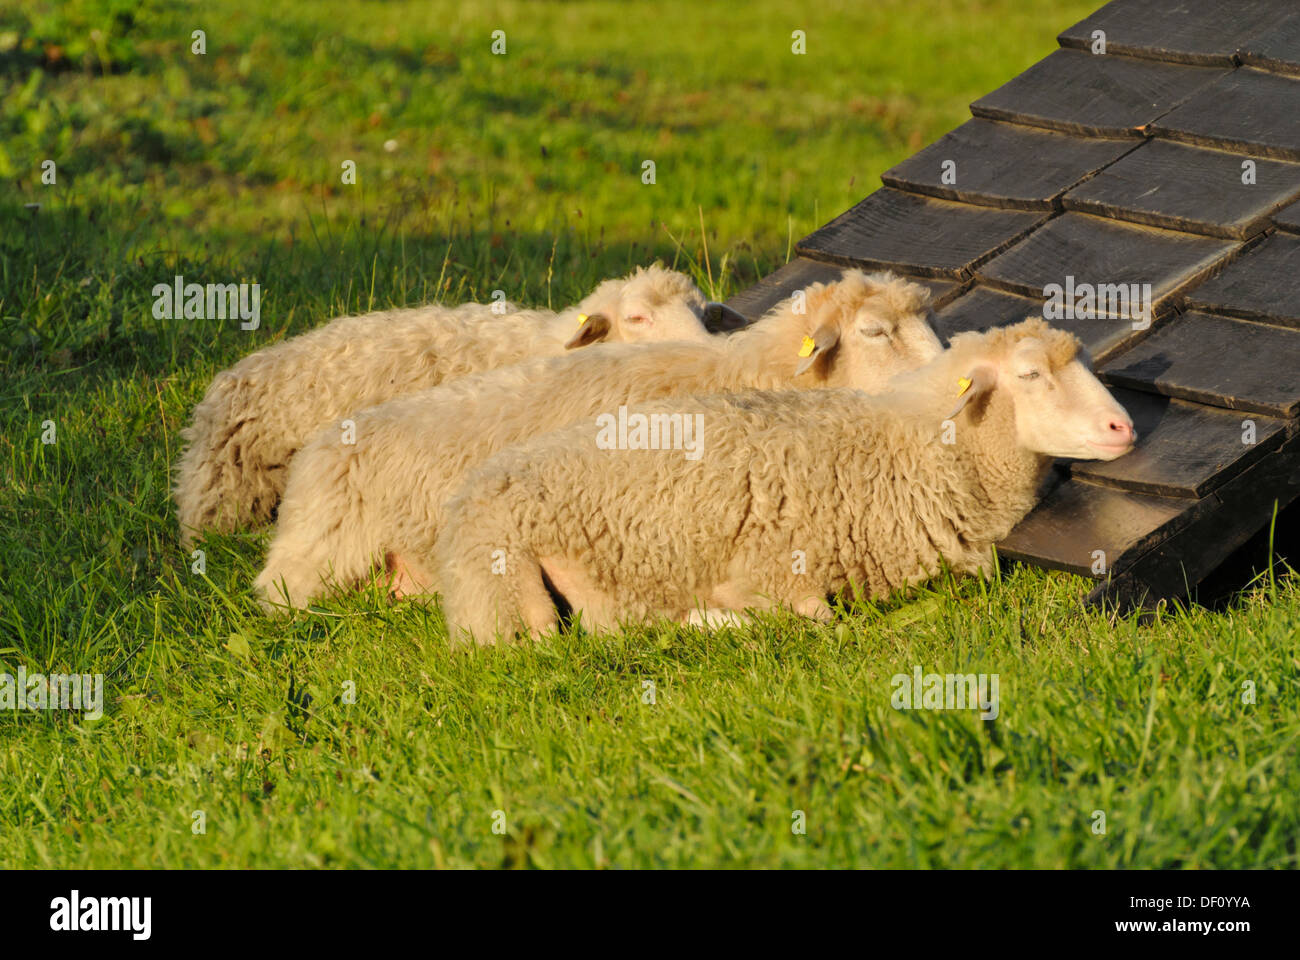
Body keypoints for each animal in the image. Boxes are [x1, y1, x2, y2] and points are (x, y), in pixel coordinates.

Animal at [431, 316, 1133, 642]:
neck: (911, 444)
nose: (1123, 427)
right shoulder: (781, 569)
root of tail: (468, 495)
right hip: (510, 596)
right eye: (1031, 375)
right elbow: (815, 619)